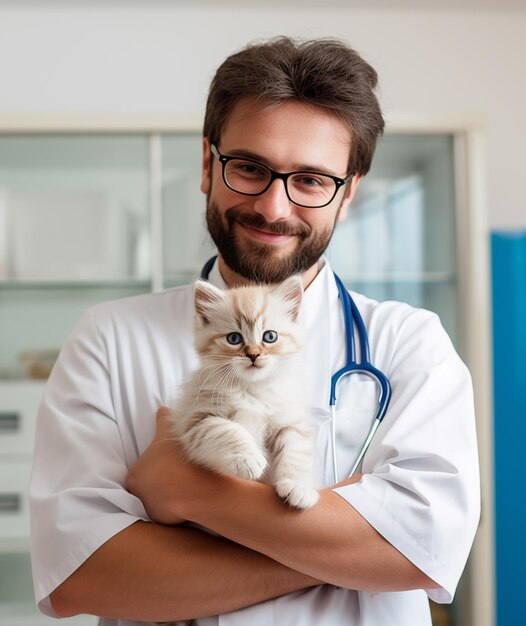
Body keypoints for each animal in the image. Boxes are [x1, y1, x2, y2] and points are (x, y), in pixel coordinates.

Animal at [173, 276, 320, 510]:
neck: (253, 391)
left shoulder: (289, 421)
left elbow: (297, 451)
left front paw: (299, 487)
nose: (253, 354)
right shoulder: (197, 419)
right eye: (234, 338)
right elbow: (227, 430)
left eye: (270, 336)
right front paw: (248, 459)